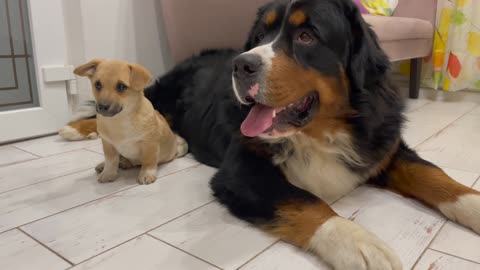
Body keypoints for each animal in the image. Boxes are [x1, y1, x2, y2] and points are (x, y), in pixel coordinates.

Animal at [61, 0, 480, 268]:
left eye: (307, 36)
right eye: (261, 35)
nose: (240, 65)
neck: (319, 132)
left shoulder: (383, 146)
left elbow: (433, 175)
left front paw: (473, 203)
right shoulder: (241, 170)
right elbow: (304, 201)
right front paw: (360, 245)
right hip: (158, 97)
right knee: (132, 107)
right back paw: (76, 128)